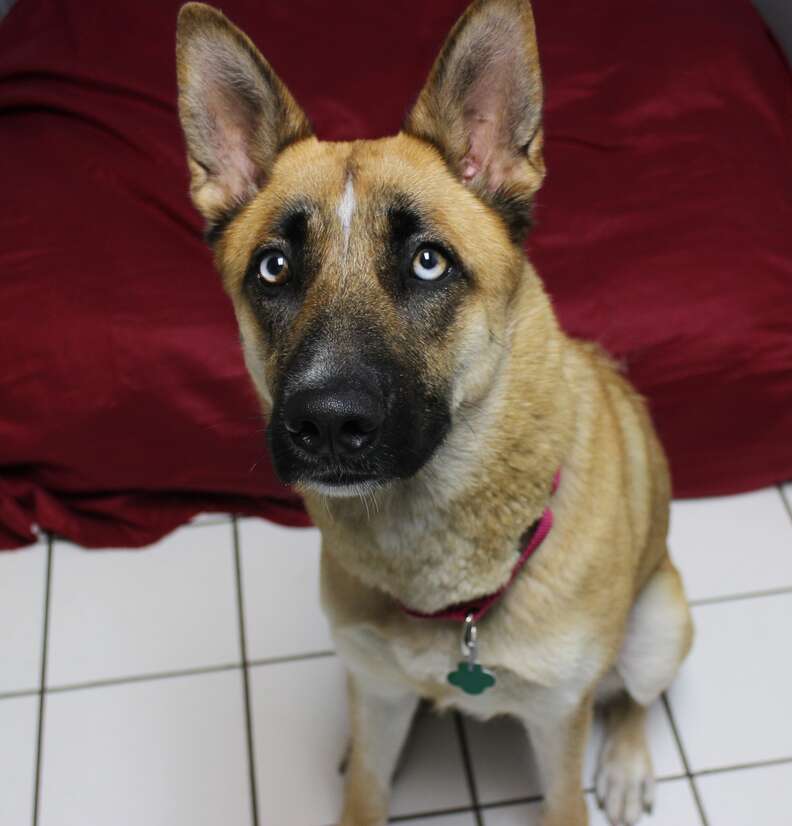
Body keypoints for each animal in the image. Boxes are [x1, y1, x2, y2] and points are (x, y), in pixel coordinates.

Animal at [175, 3, 692, 820]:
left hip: (658, 628)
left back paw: (627, 763)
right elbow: (366, 785)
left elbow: (568, 787)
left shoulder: (558, 719)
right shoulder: (379, 693)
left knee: (633, 698)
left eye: (428, 262)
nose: (327, 423)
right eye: (274, 268)